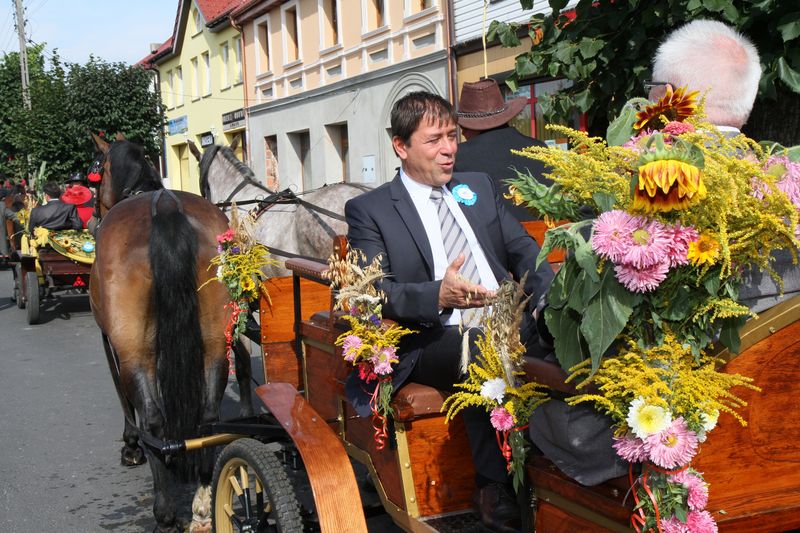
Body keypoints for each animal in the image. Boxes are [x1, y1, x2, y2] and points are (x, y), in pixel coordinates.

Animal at [88, 134, 242, 532]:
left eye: (98, 170)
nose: (93, 214)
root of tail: (166, 207)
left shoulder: (112, 344)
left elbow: (126, 400)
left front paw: (130, 446)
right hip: (215, 344)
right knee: (208, 414)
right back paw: (202, 504)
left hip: (134, 352)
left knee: (153, 419)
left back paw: (166, 513)